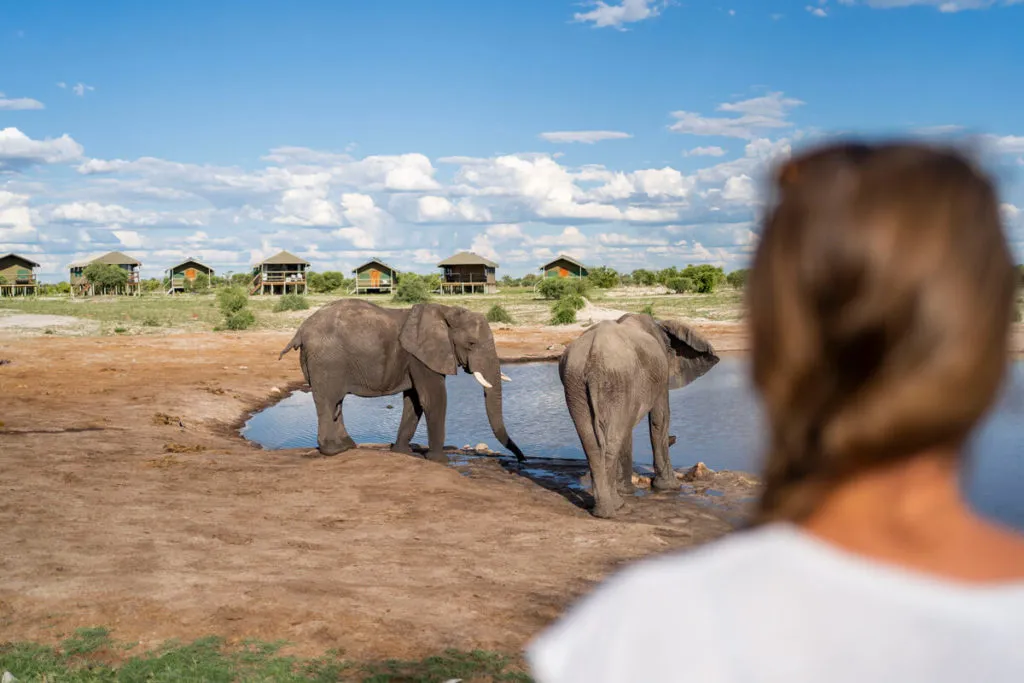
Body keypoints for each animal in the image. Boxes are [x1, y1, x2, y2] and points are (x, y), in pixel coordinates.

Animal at [279, 299, 526, 463]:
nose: (521, 459)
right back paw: (334, 451)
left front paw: (402, 452)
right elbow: (433, 398)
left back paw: (347, 446)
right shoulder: (420, 357)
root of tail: (300, 330)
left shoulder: (415, 359)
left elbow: (414, 400)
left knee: (336, 402)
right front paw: (439, 460)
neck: (444, 311)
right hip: (327, 360)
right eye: (472, 344)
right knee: (328, 401)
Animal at [559, 313, 719, 518]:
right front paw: (670, 487)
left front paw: (628, 491)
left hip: (577, 384)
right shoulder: (659, 375)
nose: (674, 438)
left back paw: (606, 509)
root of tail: (594, 356)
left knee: (595, 443)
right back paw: (614, 507)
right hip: (615, 380)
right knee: (613, 439)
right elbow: (660, 418)